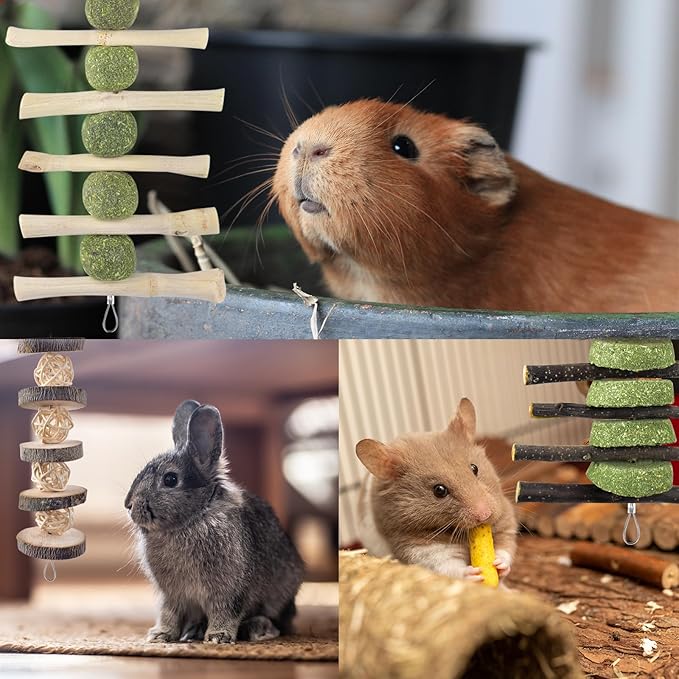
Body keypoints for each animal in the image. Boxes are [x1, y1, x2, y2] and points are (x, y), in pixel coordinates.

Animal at [125, 400, 304, 644]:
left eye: (170, 479)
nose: (128, 505)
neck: (194, 517)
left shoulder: (229, 590)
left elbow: (225, 611)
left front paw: (218, 637)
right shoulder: (172, 595)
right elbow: (169, 613)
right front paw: (160, 635)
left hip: (279, 595)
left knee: (278, 621)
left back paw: (258, 629)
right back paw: (193, 631)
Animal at [355, 398, 517, 583]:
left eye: (474, 468)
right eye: (439, 490)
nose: (485, 515)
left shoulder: (505, 517)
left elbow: (506, 546)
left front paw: (499, 564)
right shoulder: (420, 548)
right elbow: (447, 566)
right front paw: (473, 574)